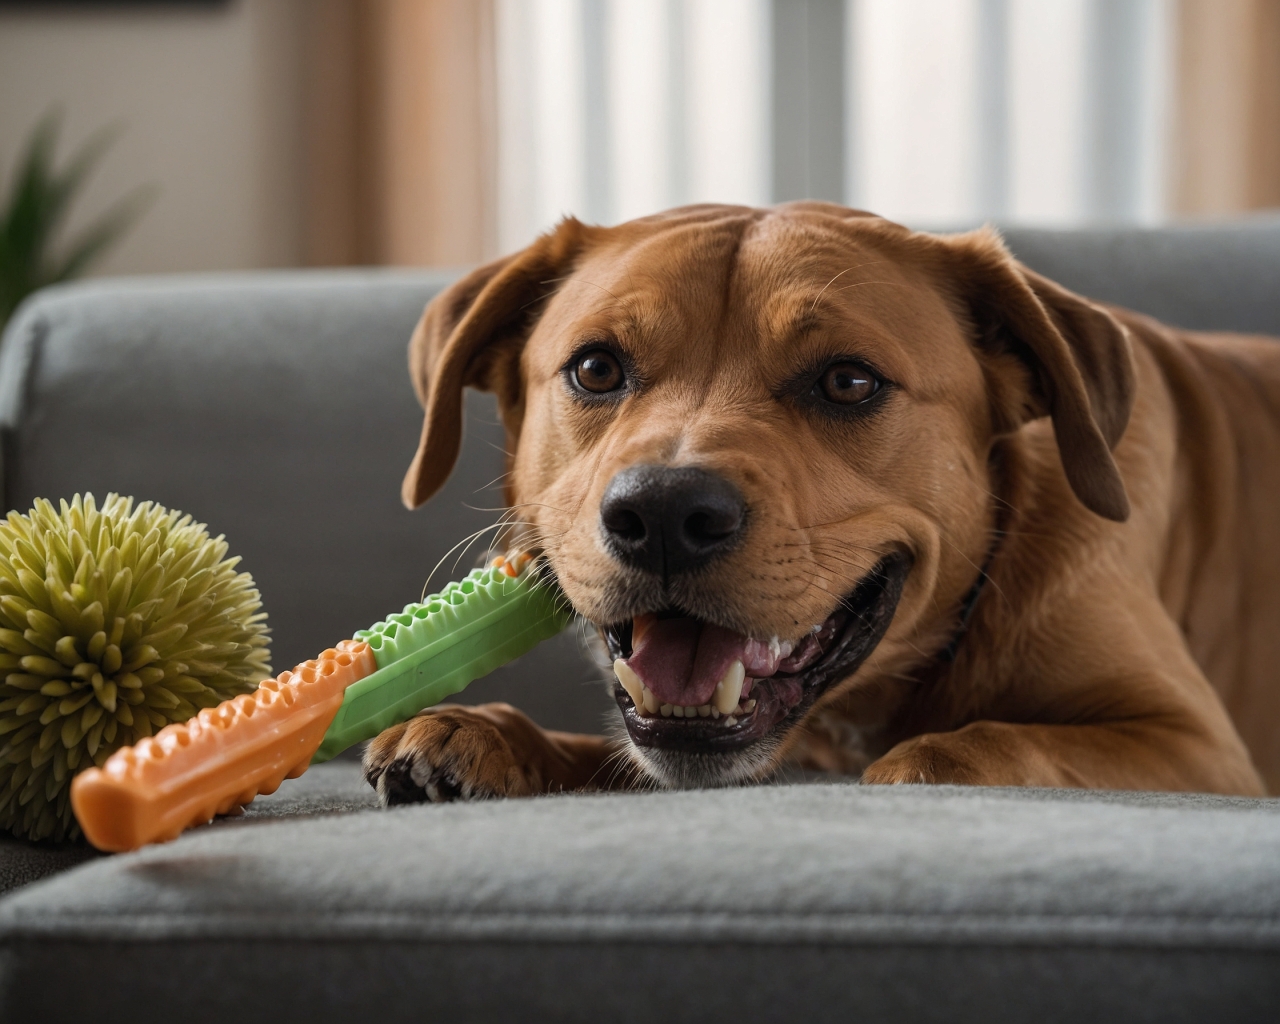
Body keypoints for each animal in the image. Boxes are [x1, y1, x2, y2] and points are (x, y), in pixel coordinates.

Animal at [360, 203, 1280, 803]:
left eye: (848, 381)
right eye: (595, 368)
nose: (664, 515)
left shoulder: (1198, 747)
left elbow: (987, 742)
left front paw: (927, 761)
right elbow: (608, 749)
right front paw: (488, 732)